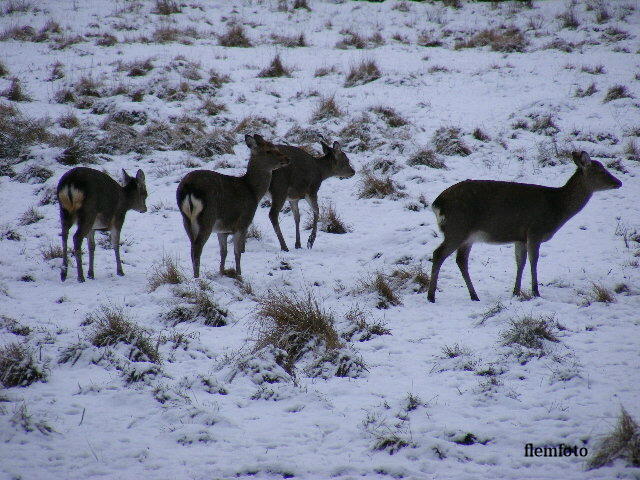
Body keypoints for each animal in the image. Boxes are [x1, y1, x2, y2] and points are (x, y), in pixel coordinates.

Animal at [179, 134, 292, 278]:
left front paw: (222, 272)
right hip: (207, 217)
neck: (253, 192)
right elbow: (237, 252)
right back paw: (197, 277)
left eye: (276, 148)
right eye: (269, 150)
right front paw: (239, 274)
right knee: (197, 248)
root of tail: (188, 187)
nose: (287, 158)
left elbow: (224, 252)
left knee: (192, 247)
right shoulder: (242, 222)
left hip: (186, 219)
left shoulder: (222, 229)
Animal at [428, 153, 624, 304]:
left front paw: (516, 292)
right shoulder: (535, 230)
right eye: (601, 170)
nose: (619, 182)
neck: (556, 208)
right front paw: (536, 292)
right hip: (457, 228)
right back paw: (431, 297)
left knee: (461, 260)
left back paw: (474, 296)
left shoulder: (520, 237)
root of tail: (437, 203)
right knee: (438, 254)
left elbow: (520, 262)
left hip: (468, 236)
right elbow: (533, 261)